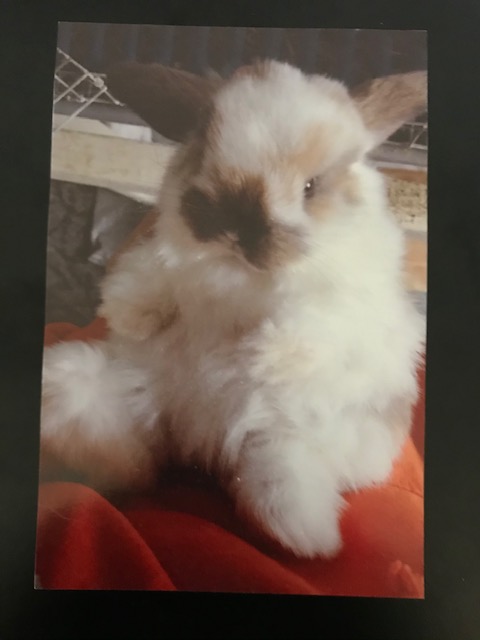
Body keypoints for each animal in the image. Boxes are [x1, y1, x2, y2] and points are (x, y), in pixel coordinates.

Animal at [40, 60, 427, 558]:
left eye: (310, 187)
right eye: (205, 154)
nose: (240, 230)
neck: (239, 273)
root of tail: (194, 445)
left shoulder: (345, 304)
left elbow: (309, 322)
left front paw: (260, 353)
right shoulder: (162, 256)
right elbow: (148, 277)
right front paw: (134, 317)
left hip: (289, 437)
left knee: (282, 483)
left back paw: (310, 542)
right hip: (86, 391)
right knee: (133, 458)